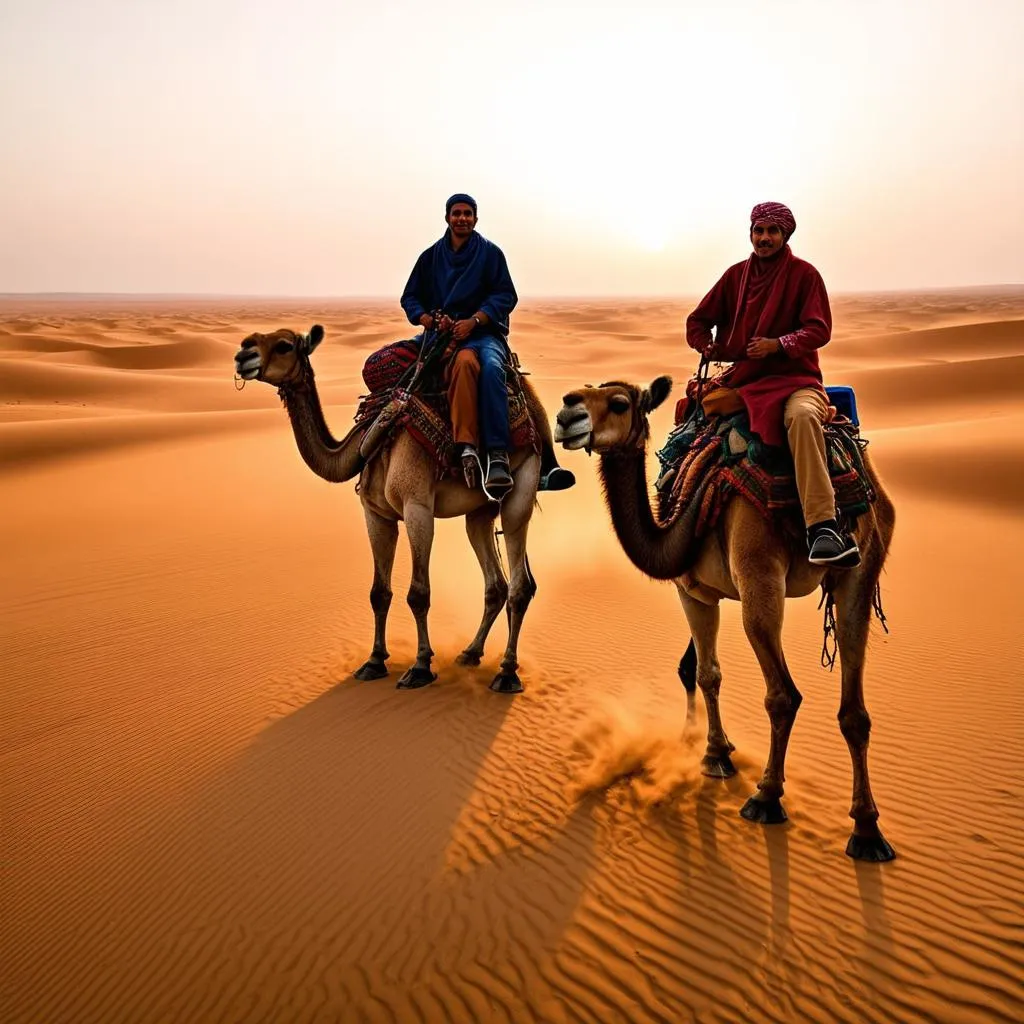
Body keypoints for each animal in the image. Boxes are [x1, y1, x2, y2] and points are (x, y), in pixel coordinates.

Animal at [234, 323, 552, 696]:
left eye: (284, 345)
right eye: (253, 338)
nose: (242, 355)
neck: (372, 438)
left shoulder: (417, 508)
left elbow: (418, 594)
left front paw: (421, 665)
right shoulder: (376, 514)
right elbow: (379, 593)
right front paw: (374, 661)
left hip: (523, 482)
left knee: (520, 585)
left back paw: (506, 672)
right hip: (481, 509)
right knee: (495, 582)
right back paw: (470, 653)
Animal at [552, 372, 897, 860]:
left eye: (618, 403)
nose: (567, 413)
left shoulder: (692, 592)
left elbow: (706, 673)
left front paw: (714, 756)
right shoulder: (711, 593)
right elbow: (698, 669)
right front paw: (716, 748)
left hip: (760, 575)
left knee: (783, 695)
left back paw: (767, 797)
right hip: (860, 569)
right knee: (854, 709)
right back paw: (867, 830)